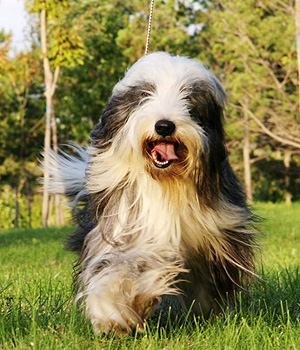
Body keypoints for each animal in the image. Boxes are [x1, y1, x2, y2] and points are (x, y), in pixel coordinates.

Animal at [45, 51, 256, 334]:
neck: (166, 183)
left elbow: (207, 284)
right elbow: (118, 264)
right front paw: (111, 311)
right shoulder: (124, 225)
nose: (164, 126)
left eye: (189, 99)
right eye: (146, 94)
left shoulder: (217, 233)